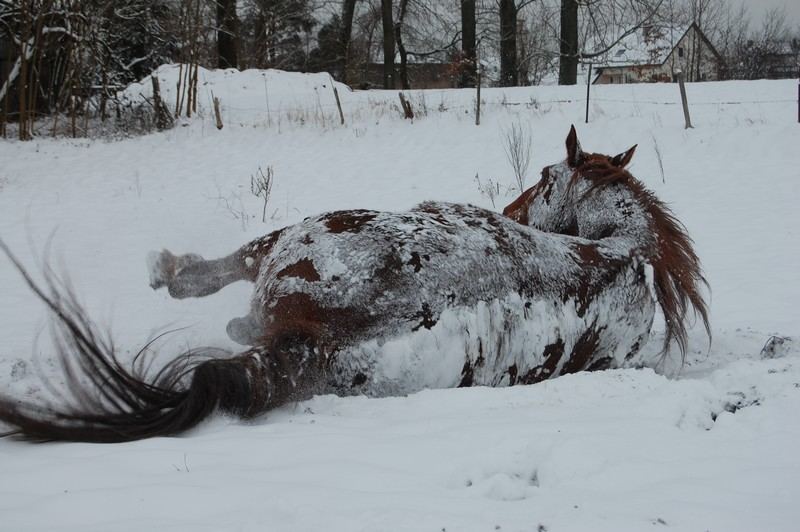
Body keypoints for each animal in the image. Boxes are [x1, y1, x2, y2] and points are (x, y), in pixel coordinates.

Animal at [0, 127, 708, 442]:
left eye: (542, 175)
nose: (509, 210)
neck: (618, 251)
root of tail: (318, 338)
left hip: (295, 234)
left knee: (229, 272)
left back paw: (172, 271)